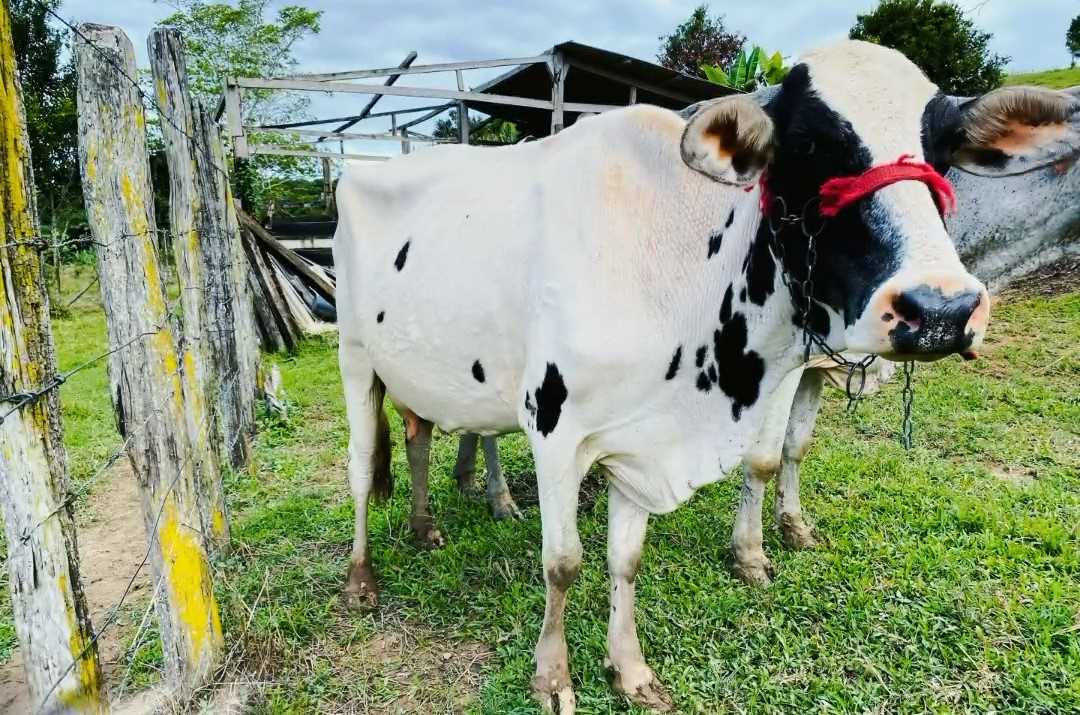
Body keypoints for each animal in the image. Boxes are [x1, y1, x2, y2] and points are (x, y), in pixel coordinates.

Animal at [334, 41, 1078, 712]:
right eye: (807, 148)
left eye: (942, 150)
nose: (943, 308)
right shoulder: (554, 427)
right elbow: (563, 561)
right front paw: (552, 678)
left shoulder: (643, 436)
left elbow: (626, 558)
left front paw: (630, 668)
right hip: (355, 356)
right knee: (362, 467)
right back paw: (361, 577)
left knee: (418, 436)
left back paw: (428, 524)